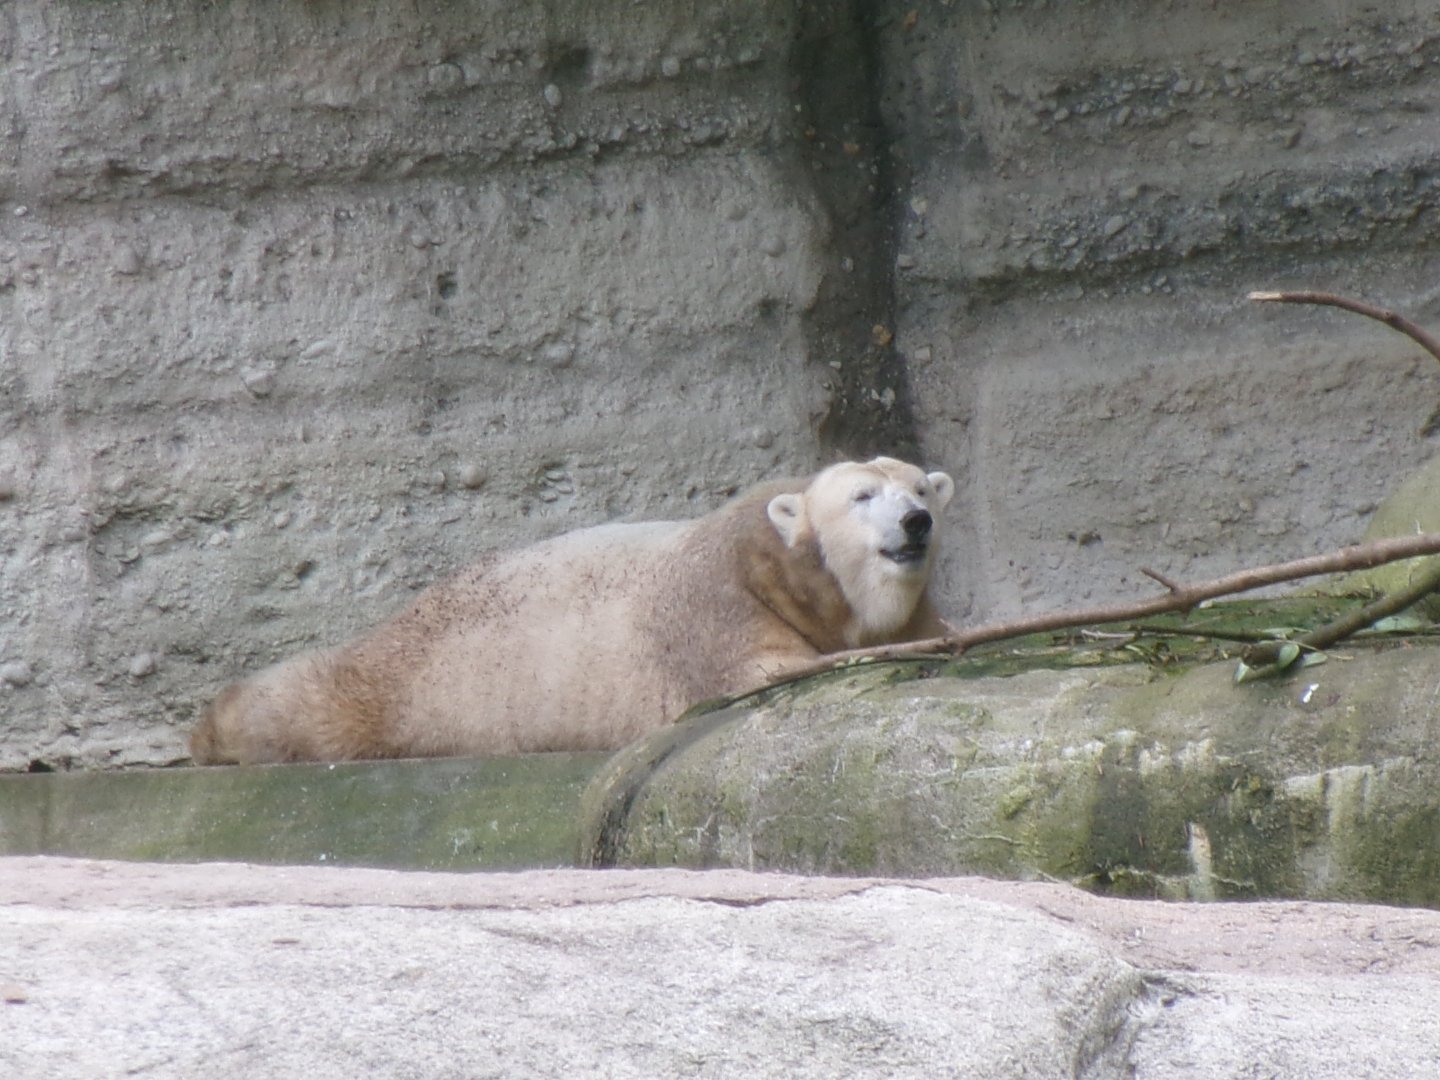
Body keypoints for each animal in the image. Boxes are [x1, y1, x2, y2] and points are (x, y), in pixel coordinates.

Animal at [189, 456, 955, 765]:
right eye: (861, 495)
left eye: (921, 486)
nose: (917, 522)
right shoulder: (715, 602)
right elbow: (765, 668)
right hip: (413, 672)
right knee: (320, 701)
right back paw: (215, 729)